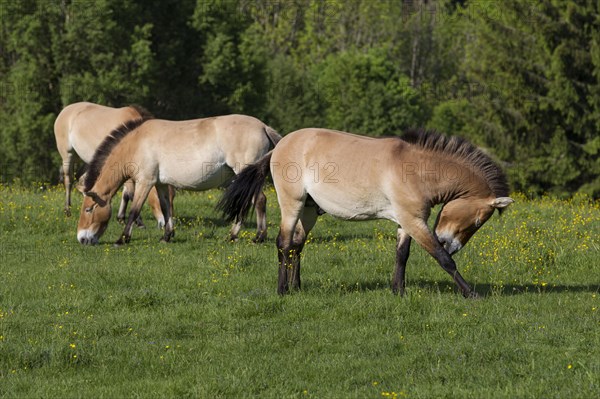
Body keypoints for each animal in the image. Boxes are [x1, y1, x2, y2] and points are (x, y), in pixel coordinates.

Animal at [76, 113, 280, 247]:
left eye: (88, 209)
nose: (82, 239)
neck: (137, 143)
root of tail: (263, 126)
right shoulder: (160, 184)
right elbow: (166, 208)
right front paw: (167, 236)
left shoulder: (145, 182)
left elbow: (134, 210)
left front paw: (122, 239)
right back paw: (235, 235)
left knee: (260, 200)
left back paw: (257, 237)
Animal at [218, 128, 512, 296]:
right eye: (478, 221)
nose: (452, 245)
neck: (418, 170)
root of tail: (278, 147)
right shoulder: (414, 221)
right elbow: (442, 259)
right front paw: (470, 292)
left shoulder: (406, 221)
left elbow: (402, 255)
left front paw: (398, 291)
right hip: (292, 204)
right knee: (283, 243)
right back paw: (282, 291)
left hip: (309, 211)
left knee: (297, 246)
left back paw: (296, 287)